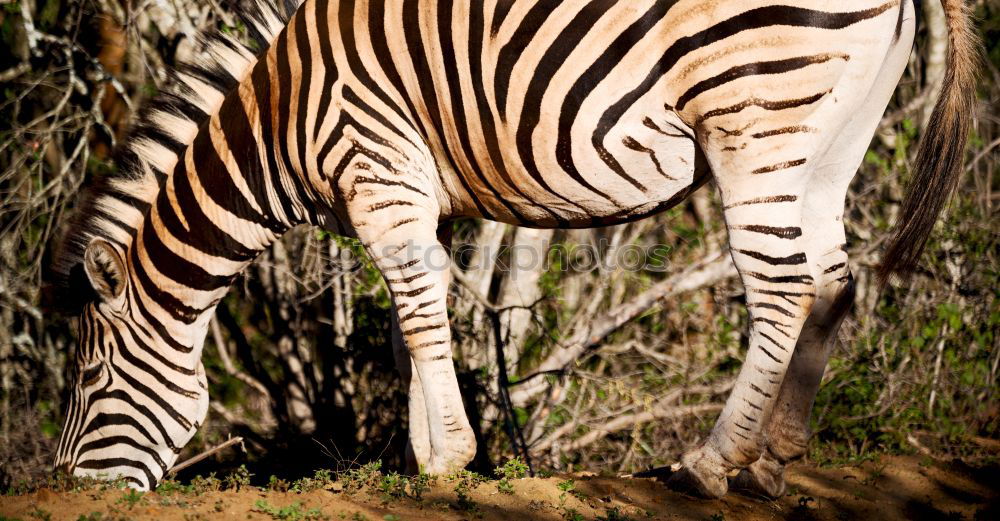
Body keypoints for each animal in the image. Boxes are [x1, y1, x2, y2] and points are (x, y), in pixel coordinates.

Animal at [47, 0, 976, 496]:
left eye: (88, 380)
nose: (65, 490)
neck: (282, 120)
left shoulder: (380, 176)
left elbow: (420, 324)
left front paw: (444, 462)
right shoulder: (419, 199)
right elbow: (412, 330)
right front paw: (417, 455)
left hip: (754, 117)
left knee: (784, 287)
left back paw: (712, 462)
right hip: (831, 141)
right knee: (834, 281)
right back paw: (776, 460)